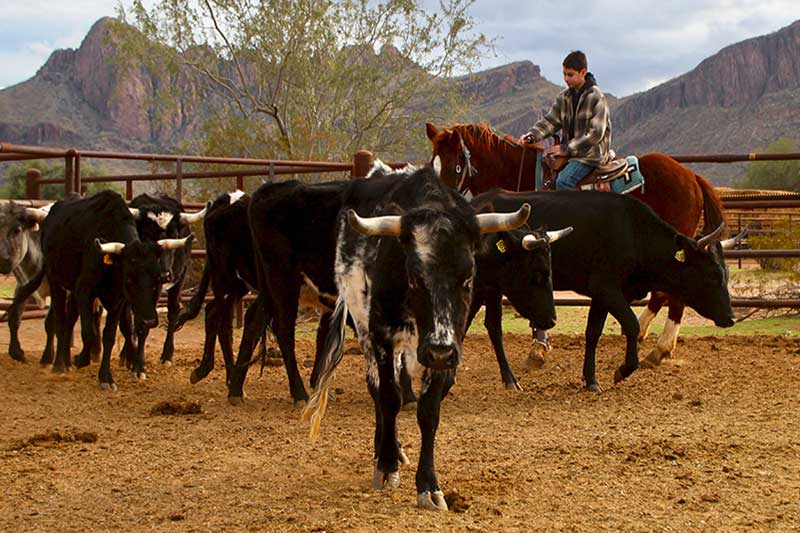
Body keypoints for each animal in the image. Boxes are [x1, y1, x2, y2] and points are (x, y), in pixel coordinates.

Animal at [302, 163, 532, 512]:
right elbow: (389, 398)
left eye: (467, 278)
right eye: (414, 277)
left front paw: (428, 486)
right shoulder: (382, 337)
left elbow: (429, 411)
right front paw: (386, 466)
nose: (439, 350)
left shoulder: (448, 348)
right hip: (364, 327)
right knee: (378, 390)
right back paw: (388, 451)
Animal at [428, 121, 728, 370]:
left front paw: (538, 348)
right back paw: (644, 334)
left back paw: (660, 348)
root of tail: (691, 175)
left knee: (675, 294)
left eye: (455, 165)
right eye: (432, 163)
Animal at [468, 189, 736, 388]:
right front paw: (624, 369)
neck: (633, 233)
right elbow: (631, 324)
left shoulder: (601, 295)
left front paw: (591, 380)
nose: (731, 318)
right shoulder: (607, 289)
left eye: (726, 273)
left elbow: (593, 332)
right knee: (491, 326)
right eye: (713, 275)